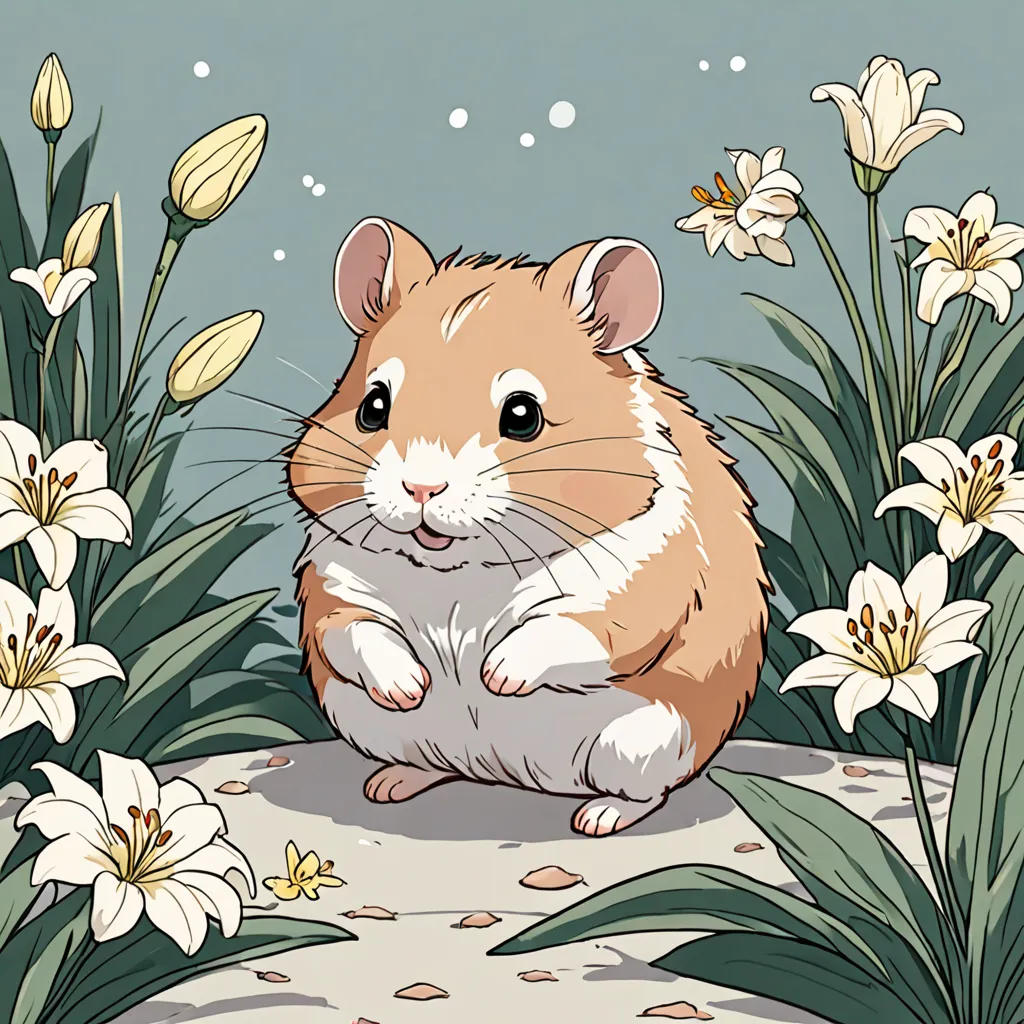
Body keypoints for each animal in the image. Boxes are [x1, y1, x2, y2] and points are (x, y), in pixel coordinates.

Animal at [289, 216, 769, 836]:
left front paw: (494, 677)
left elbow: (570, 630)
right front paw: (410, 686)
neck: (459, 571)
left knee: (649, 793)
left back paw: (597, 817)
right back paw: (389, 784)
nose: (421, 488)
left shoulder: (645, 588)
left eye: (522, 415)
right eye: (372, 406)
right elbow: (352, 633)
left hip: (645, 745)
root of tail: (507, 775)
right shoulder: (333, 588)